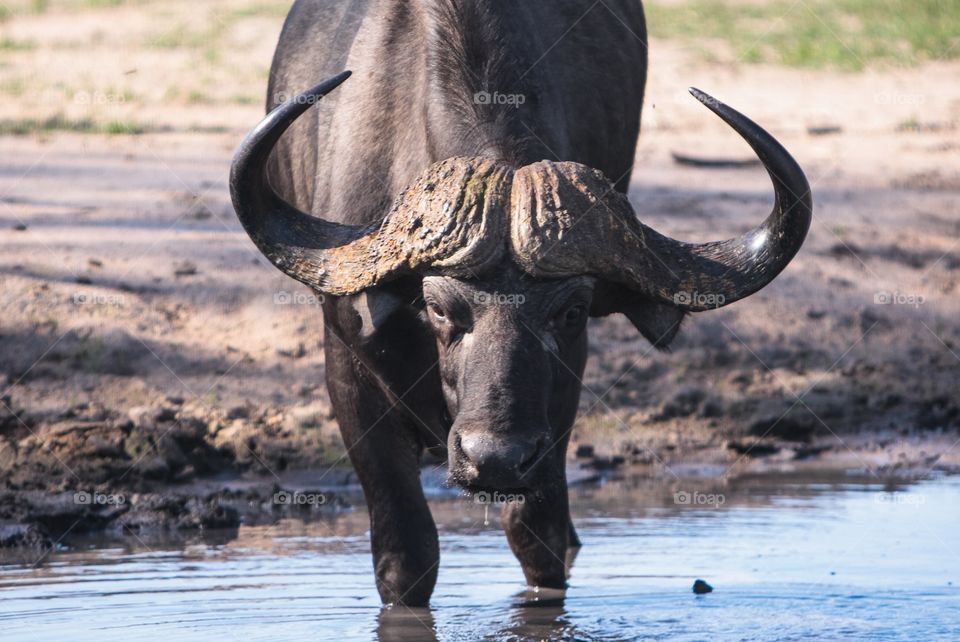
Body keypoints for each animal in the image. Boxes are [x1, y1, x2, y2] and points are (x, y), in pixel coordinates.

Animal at [230, 0, 811, 606]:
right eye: (439, 308)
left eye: (570, 311)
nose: (496, 459)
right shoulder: (349, 365)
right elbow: (406, 556)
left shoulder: (562, 394)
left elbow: (537, 535)